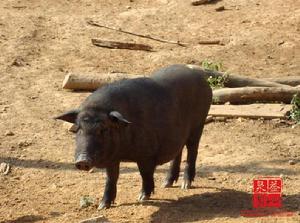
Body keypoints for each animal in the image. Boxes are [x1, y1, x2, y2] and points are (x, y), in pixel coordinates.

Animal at [55, 64, 212, 209]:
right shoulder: (113, 158)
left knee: (192, 151)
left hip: (198, 124)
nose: (82, 160)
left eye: (103, 129)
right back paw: (166, 184)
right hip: (178, 134)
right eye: (78, 128)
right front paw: (103, 206)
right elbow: (111, 178)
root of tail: (201, 78)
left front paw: (142, 198)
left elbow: (144, 173)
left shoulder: (147, 154)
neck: (124, 152)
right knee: (177, 152)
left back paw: (185, 185)